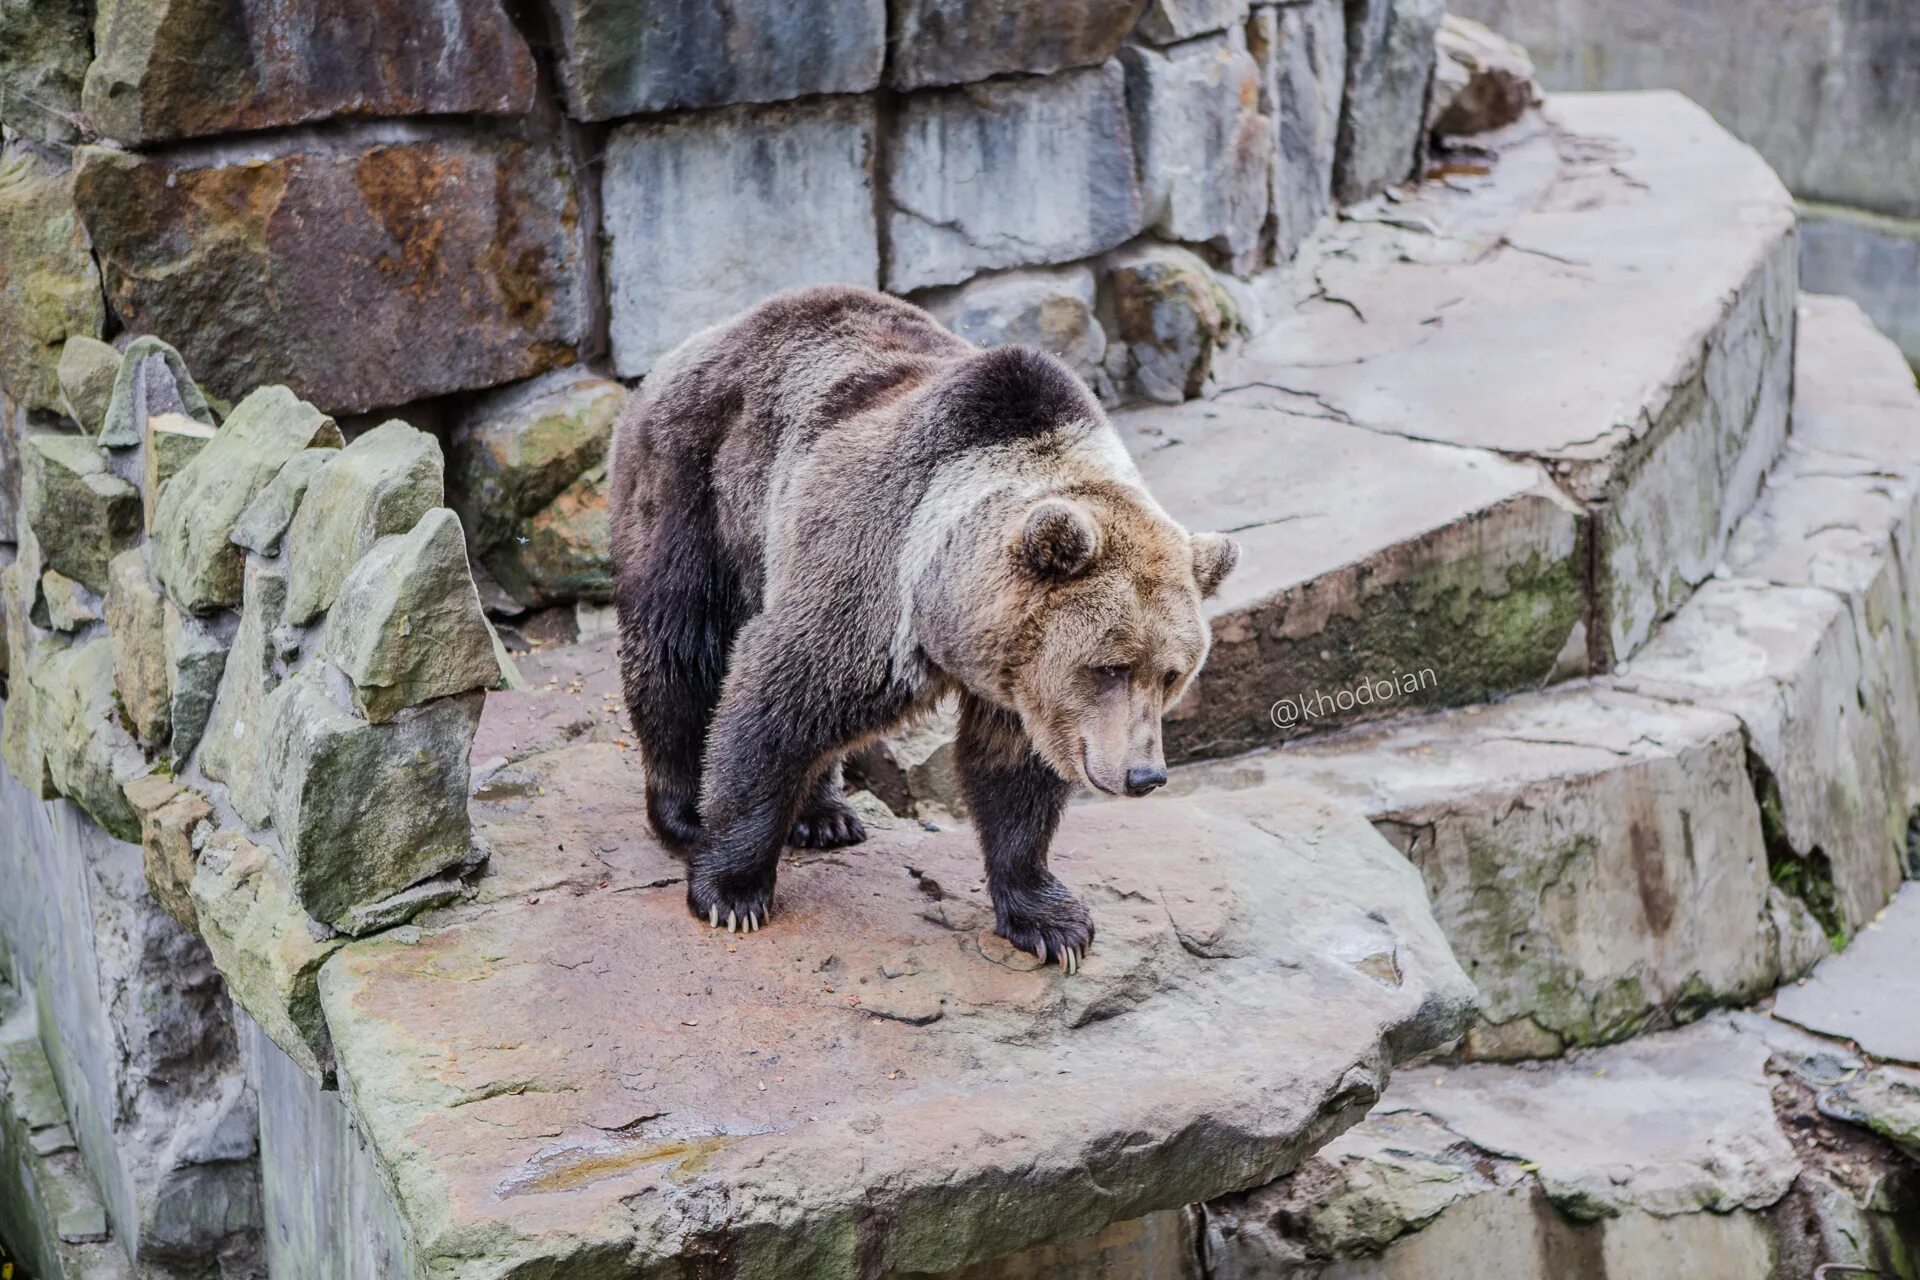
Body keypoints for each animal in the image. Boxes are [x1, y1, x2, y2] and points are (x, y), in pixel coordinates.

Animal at [614, 287, 1244, 971]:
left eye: (1171, 676)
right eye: (1111, 667)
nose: (1144, 775)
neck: (947, 612)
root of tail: (703, 337)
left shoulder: (1022, 685)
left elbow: (1013, 775)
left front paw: (1051, 922)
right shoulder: (873, 583)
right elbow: (776, 695)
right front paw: (731, 892)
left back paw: (826, 816)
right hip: (699, 485)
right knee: (679, 645)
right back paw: (682, 812)